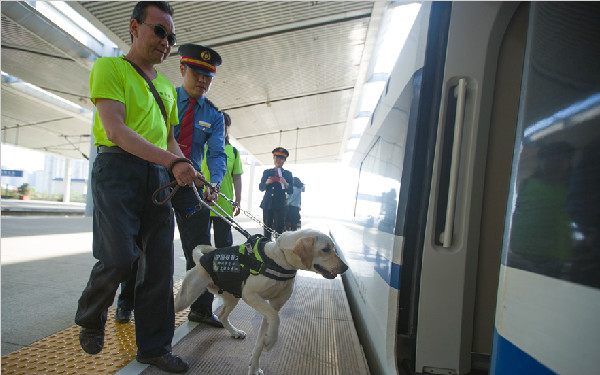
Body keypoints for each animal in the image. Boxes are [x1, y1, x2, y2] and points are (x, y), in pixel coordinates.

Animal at [175, 229, 346, 375]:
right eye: (326, 249)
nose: (345, 267)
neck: (280, 261)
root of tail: (201, 259)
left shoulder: (273, 306)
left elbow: (260, 341)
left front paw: (255, 366)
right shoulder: (251, 295)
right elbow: (275, 318)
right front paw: (270, 341)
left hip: (233, 297)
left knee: (223, 315)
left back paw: (235, 332)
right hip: (186, 298)